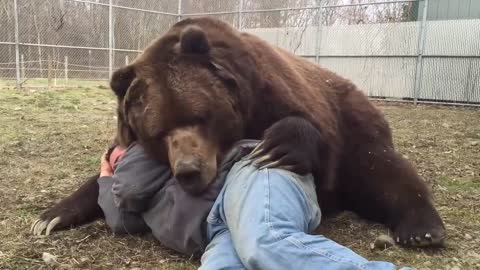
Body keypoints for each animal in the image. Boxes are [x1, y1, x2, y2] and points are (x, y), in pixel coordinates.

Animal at [31, 16, 446, 248]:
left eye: (200, 116)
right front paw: (49, 216)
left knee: (384, 170)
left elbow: (308, 133)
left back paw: (421, 228)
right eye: (158, 131)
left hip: (358, 124)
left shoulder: (274, 94)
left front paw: (277, 146)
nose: (189, 170)